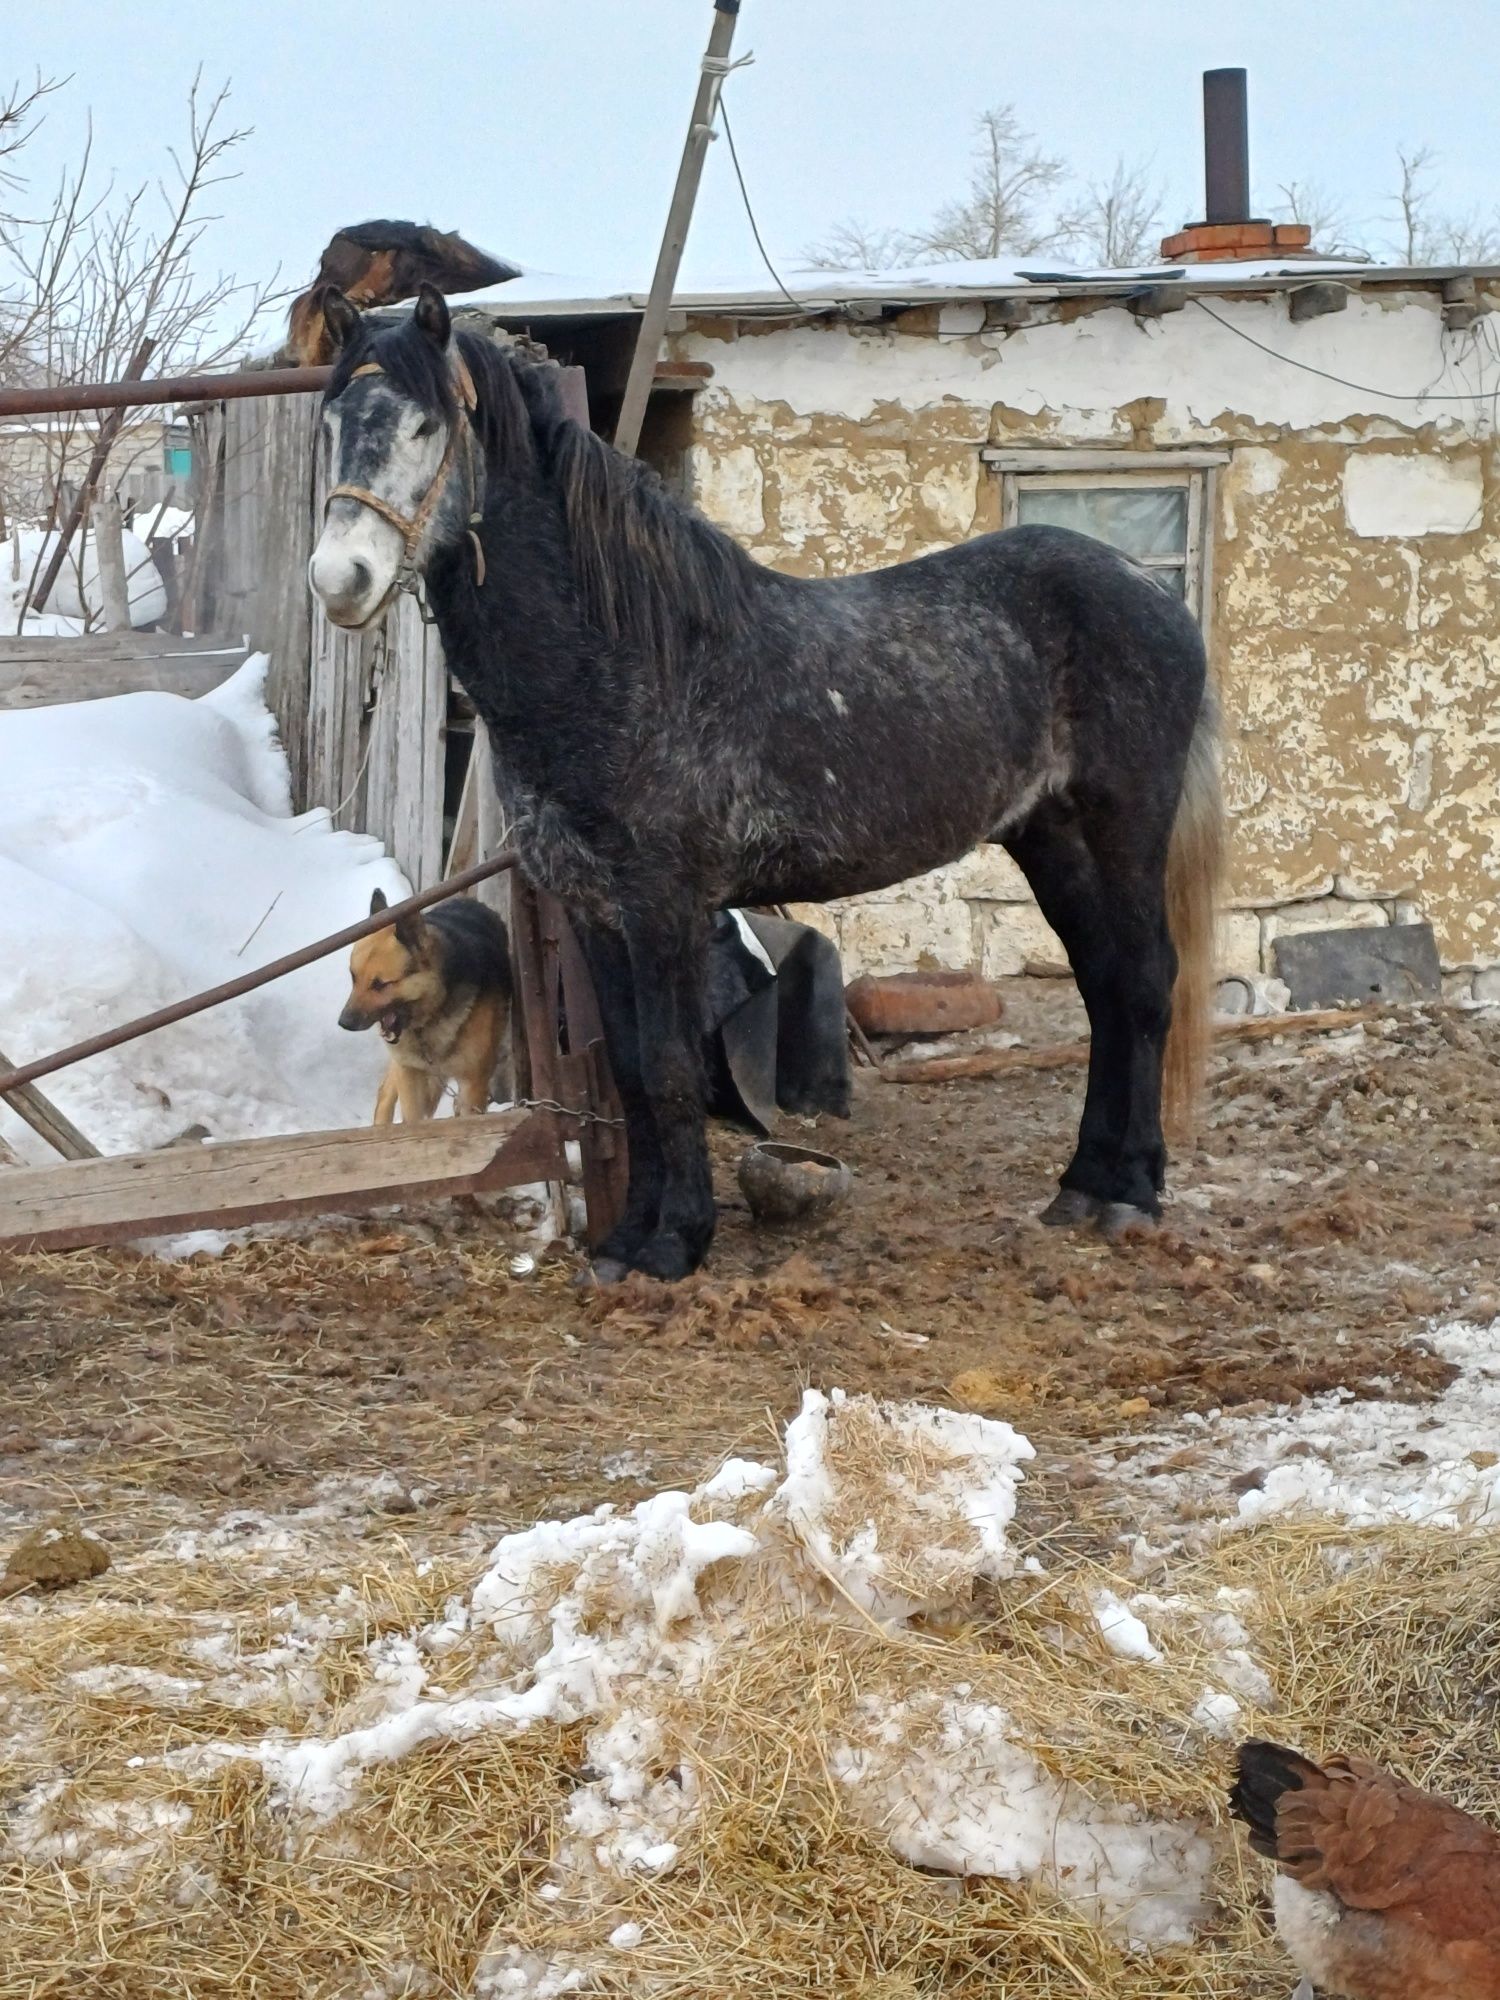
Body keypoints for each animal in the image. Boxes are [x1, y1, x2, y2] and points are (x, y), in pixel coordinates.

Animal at [338, 892, 516, 1128]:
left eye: (380, 985)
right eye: (354, 977)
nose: (344, 1022)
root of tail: (468, 900)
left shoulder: (473, 1084)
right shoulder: (409, 1075)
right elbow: (413, 1120)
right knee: (385, 1092)